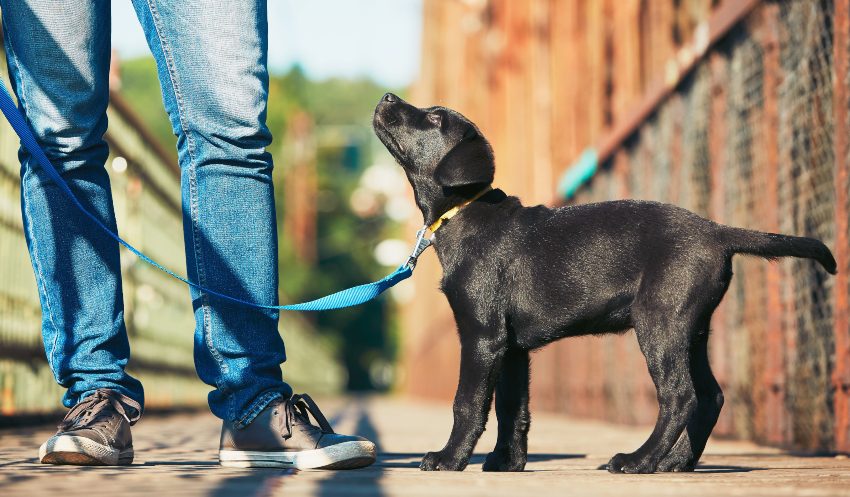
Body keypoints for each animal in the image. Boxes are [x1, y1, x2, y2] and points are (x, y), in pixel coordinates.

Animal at [372, 92, 836, 472]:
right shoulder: (512, 347)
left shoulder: (482, 335)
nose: (387, 96)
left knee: (680, 396)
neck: (464, 212)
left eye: (434, 117)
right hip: (692, 328)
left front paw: (449, 459)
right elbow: (512, 409)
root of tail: (718, 231)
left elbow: (467, 403)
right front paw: (507, 463)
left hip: (659, 322)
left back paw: (639, 460)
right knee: (709, 396)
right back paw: (675, 463)